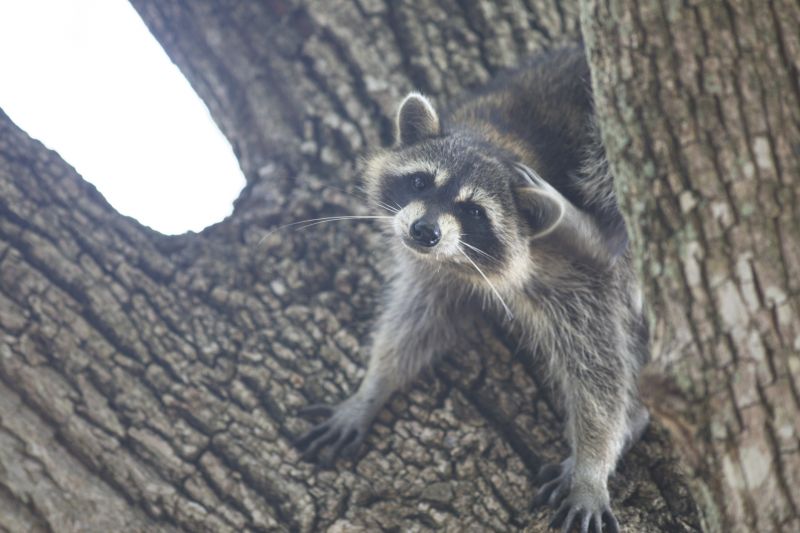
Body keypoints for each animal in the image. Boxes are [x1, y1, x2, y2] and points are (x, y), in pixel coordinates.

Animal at [296, 47, 650, 533]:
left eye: (474, 212)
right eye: (421, 181)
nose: (424, 231)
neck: (497, 143)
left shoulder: (579, 279)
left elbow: (600, 367)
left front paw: (592, 467)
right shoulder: (439, 271)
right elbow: (415, 323)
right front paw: (373, 388)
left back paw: (594, 233)